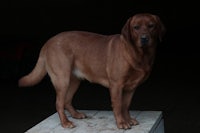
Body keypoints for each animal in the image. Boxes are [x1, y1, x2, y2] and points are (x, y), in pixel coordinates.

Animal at [18, 13, 165, 129]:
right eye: (136, 27)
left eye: (151, 26)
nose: (144, 38)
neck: (139, 55)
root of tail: (48, 42)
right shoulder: (116, 85)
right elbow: (118, 105)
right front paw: (122, 123)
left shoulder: (131, 88)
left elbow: (126, 105)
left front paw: (128, 119)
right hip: (62, 79)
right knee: (59, 103)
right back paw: (65, 122)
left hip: (74, 81)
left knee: (67, 101)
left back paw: (76, 114)